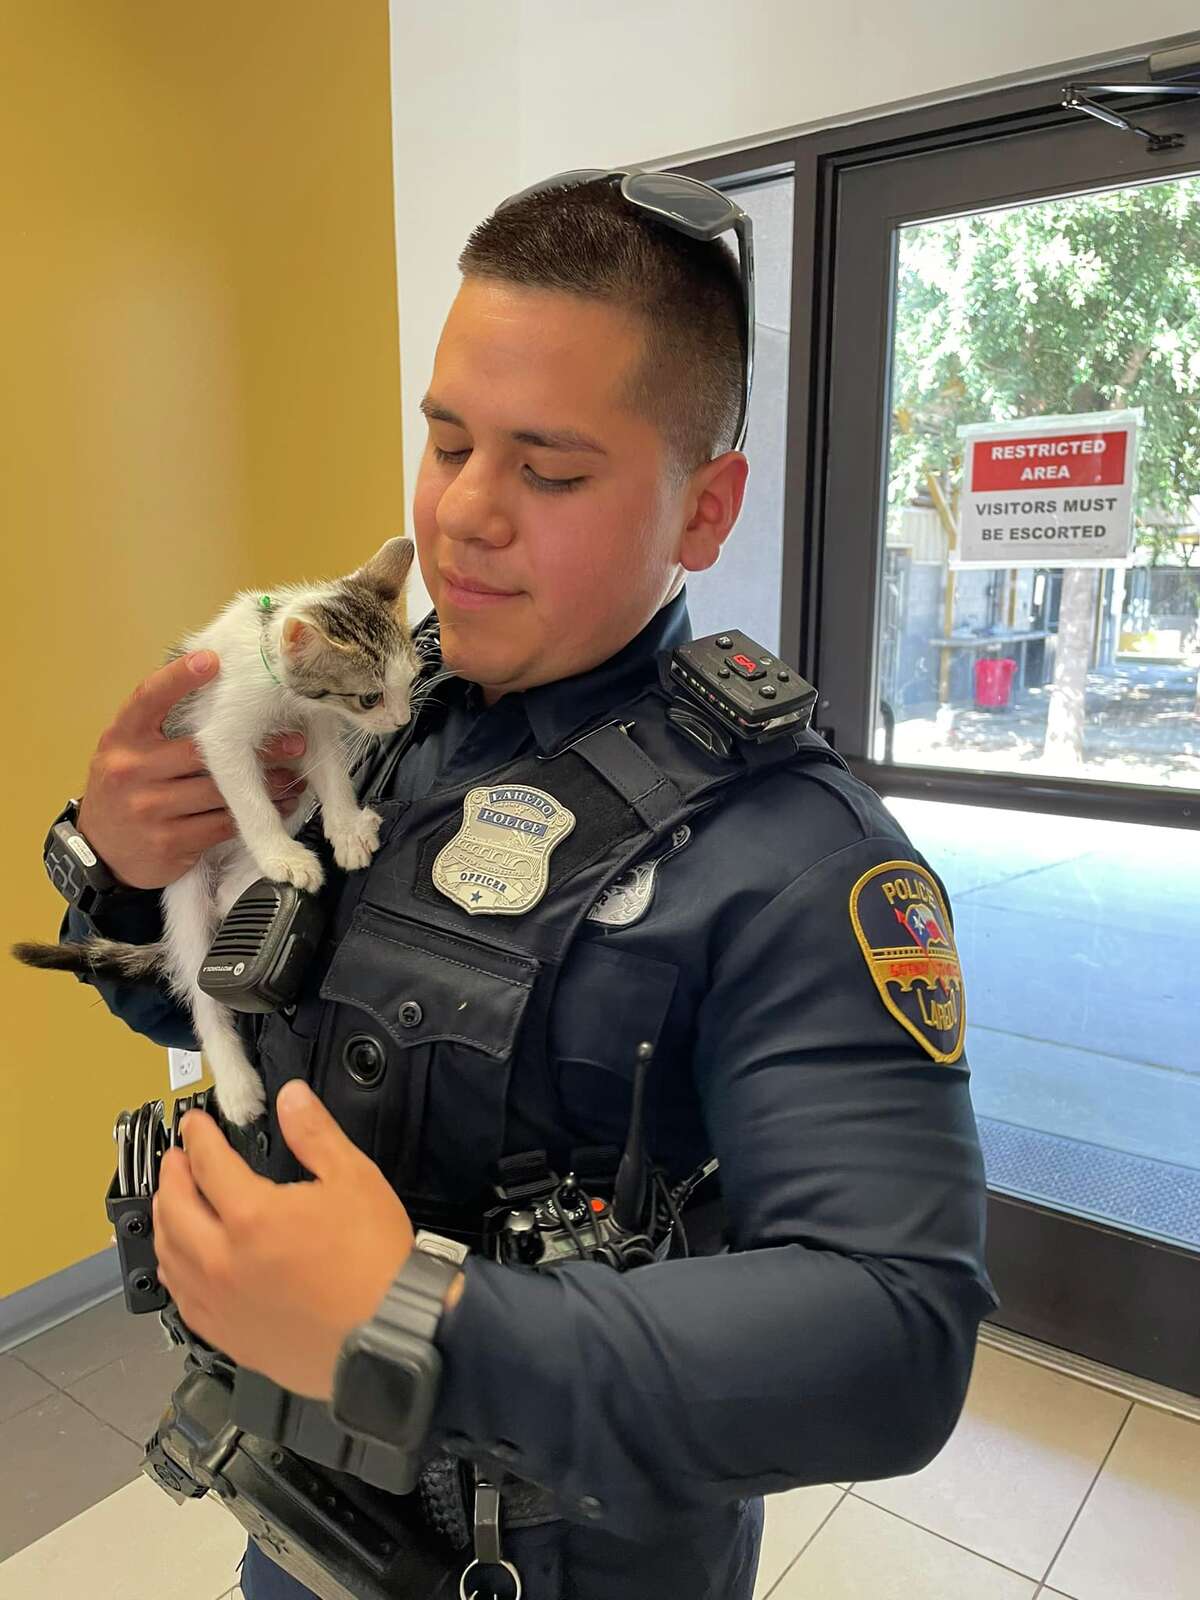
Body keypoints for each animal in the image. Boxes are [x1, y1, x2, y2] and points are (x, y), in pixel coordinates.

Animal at [15, 537, 422, 1126]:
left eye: (409, 681)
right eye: (368, 698)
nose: (399, 721)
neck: (279, 683)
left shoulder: (315, 726)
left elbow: (330, 774)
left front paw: (346, 829)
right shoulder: (220, 735)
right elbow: (249, 799)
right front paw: (283, 855)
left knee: (233, 893)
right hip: (183, 896)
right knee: (199, 993)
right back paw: (235, 1083)